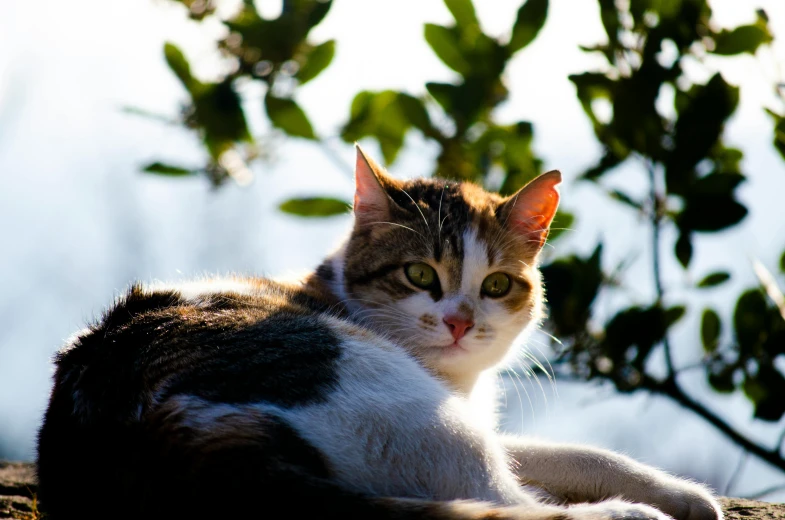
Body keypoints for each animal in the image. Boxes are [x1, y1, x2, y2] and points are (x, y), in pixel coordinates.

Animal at [36, 146, 724, 520]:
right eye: (420, 274)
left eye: (497, 285)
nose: (459, 321)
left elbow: (581, 454)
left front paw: (686, 493)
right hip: (401, 400)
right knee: (508, 501)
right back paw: (630, 514)